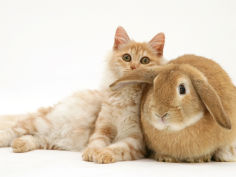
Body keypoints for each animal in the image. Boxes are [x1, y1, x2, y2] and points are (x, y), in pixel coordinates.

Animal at [0, 26, 165, 163]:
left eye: (145, 60)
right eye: (127, 57)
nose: (134, 67)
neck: (125, 96)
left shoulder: (136, 140)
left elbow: (119, 148)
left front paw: (104, 154)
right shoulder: (102, 128)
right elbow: (97, 141)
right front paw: (92, 152)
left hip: (51, 137)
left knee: (34, 137)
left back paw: (20, 143)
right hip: (43, 122)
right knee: (13, 129)